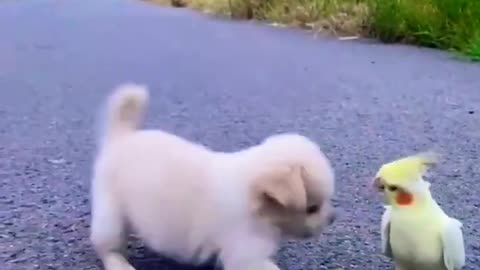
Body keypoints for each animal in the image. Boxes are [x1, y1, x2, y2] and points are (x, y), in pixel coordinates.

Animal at [91, 84, 338, 270]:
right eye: (312, 208)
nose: (332, 218)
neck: (252, 196)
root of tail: (122, 137)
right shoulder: (246, 254)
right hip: (111, 216)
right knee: (107, 247)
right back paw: (119, 264)